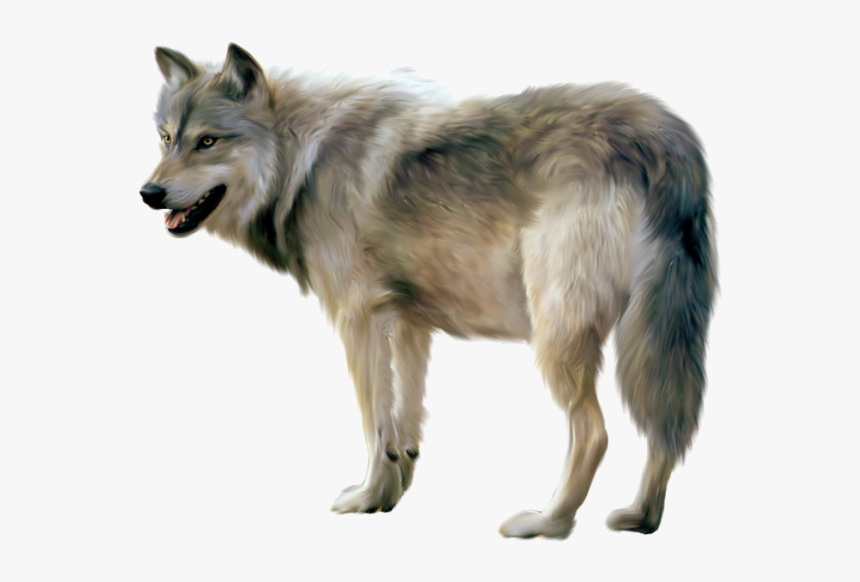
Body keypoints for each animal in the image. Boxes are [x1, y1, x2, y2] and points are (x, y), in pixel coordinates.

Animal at [140, 44, 717, 539]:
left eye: (208, 141)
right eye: (167, 138)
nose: (148, 192)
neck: (302, 157)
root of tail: (665, 135)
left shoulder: (358, 318)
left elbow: (374, 421)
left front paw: (367, 496)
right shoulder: (408, 320)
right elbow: (404, 421)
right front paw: (393, 494)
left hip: (558, 333)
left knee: (595, 432)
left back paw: (548, 523)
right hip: (655, 330)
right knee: (668, 424)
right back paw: (642, 517)